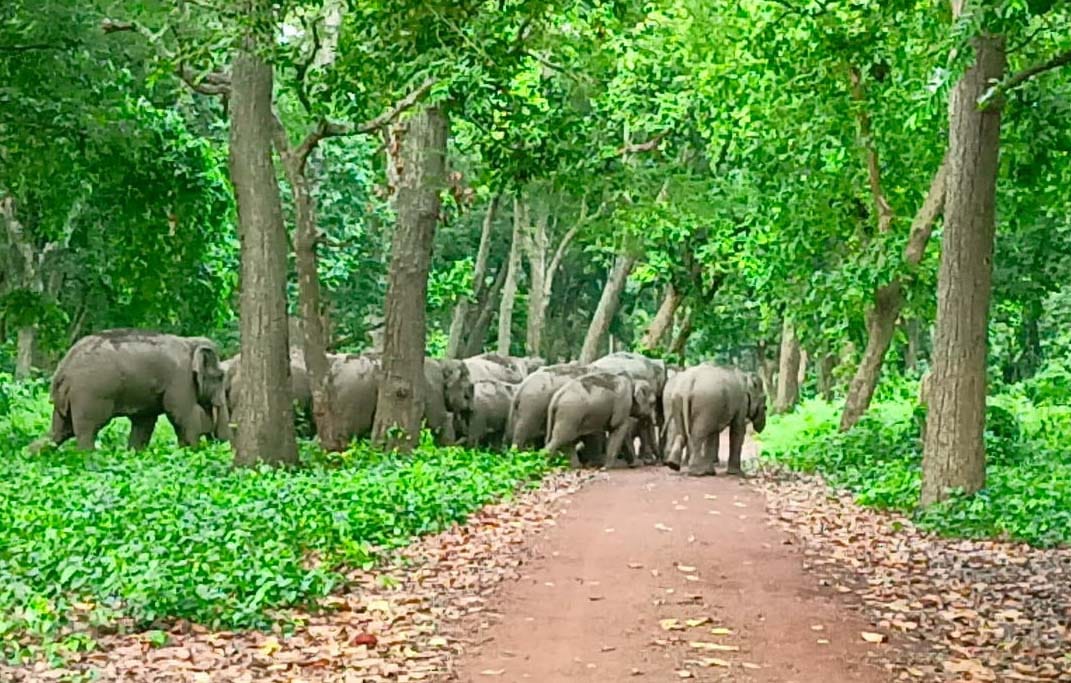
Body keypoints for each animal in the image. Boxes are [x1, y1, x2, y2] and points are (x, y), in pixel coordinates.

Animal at [48, 329, 231, 450]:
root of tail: (63, 370)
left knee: (59, 432)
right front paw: (193, 452)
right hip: (89, 395)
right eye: (220, 377)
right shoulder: (180, 380)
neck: (189, 342)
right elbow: (184, 418)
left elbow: (144, 424)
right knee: (87, 431)